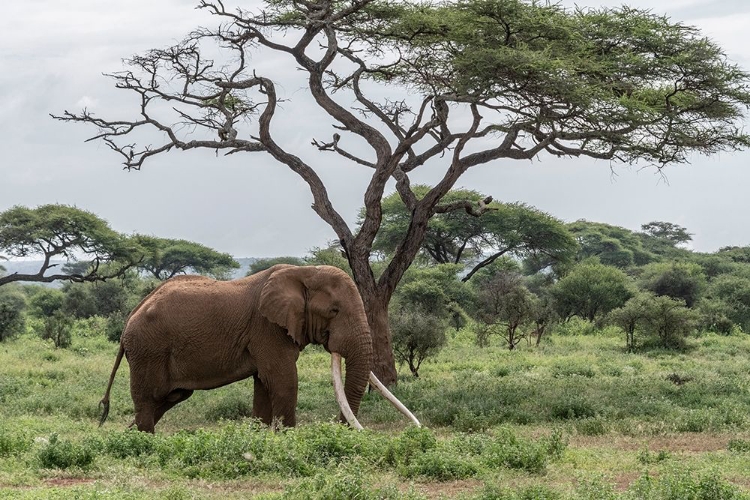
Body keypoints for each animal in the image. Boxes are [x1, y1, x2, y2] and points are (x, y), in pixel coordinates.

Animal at [98, 264, 424, 432]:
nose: (340, 430)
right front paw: (289, 439)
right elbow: (283, 381)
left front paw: (259, 437)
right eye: (334, 311)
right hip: (148, 349)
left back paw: (129, 435)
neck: (303, 272)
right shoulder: (268, 329)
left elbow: (264, 384)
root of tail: (130, 318)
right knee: (149, 398)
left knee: (169, 397)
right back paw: (143, 443)